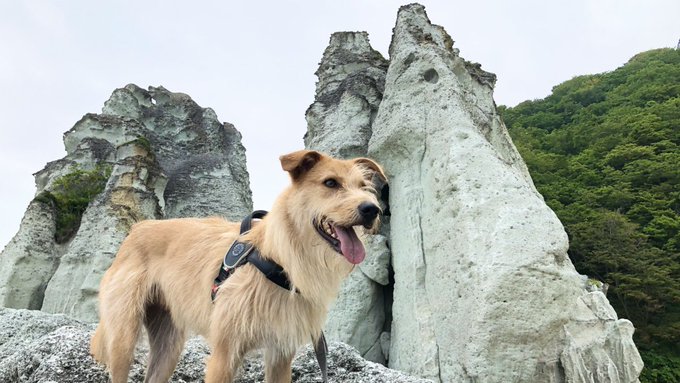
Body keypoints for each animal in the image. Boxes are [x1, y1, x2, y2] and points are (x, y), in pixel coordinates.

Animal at [91, 151, 388, 383]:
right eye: (330, 183)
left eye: (363, 186)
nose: (372, 209)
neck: (279, 258)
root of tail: (137, 230)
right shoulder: (225, 353)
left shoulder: (281, 354)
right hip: (123, 337)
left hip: (168, 344)